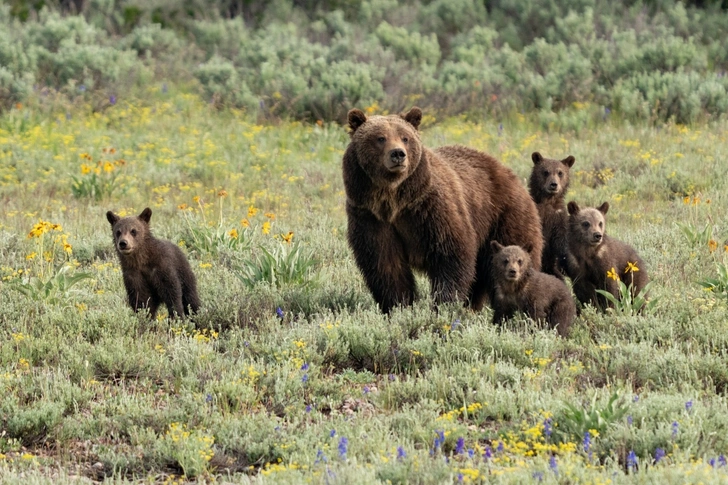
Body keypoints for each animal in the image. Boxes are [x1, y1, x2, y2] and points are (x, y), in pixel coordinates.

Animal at [342, 106, 540, 312]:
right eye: (380, 138)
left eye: (405, 138)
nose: (398, 154)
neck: (394, 200)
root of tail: (510, 173)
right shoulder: (371, 216)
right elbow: (385, 265)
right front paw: (398, 305)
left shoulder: (430, 209)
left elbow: (451, 255)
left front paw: (443, 304)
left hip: (504, 216)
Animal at [528, 151, 576, 280]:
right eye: (545, 172)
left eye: (560, 172)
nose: (553, 184)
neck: (548, 201)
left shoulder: (558, 217)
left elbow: (561, 241)